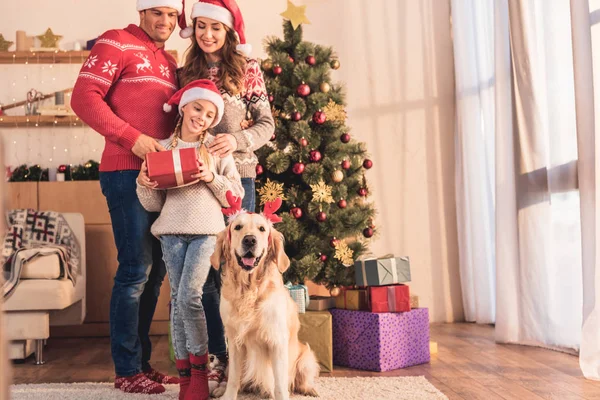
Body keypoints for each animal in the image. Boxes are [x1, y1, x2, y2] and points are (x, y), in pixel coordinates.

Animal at [212, 211, 322, 398]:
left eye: (262, 229)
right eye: (237, 227)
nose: (250, 240)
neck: (249, 289)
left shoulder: (277, 341)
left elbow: (279, 384)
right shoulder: (234, 341)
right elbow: (233, 378)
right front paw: (228, 396)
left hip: (306, 357)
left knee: (301, 380)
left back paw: (310, 389)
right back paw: (221, 388)